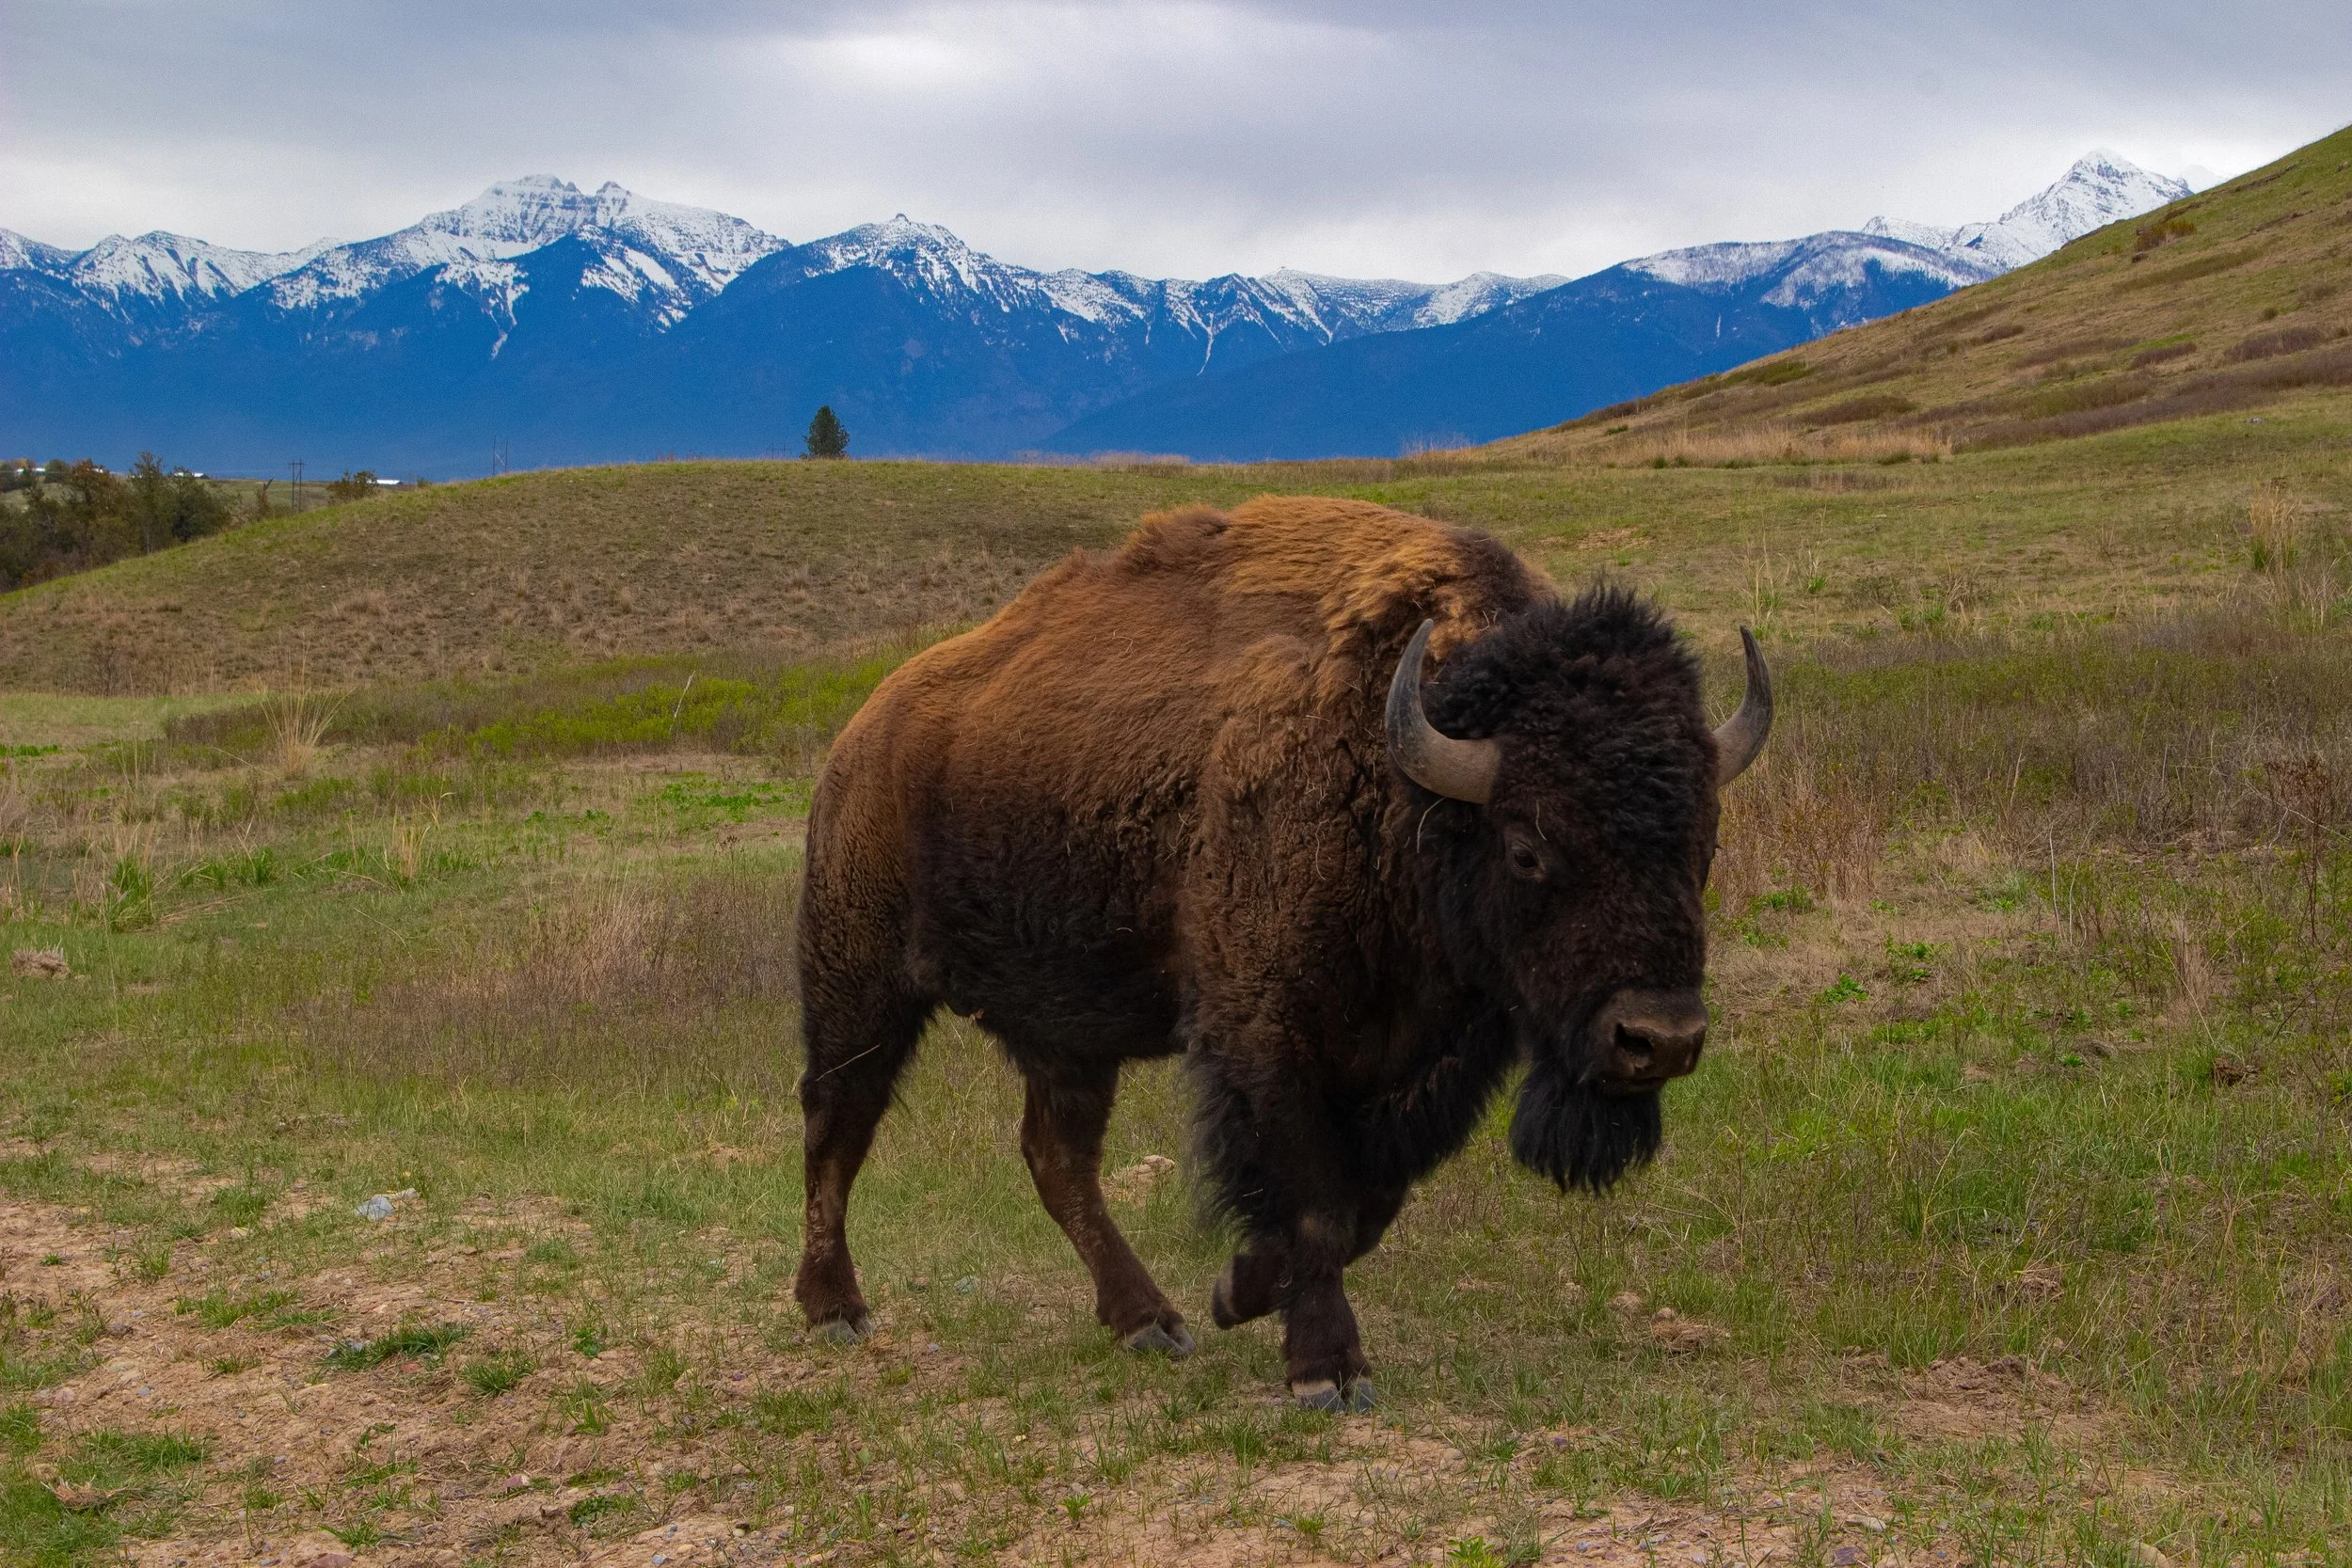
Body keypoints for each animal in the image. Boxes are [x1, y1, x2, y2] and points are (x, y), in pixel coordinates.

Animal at [794, 496, 1771, 1408]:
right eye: (1529, 845)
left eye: (1704, 842)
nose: (1660, 1038)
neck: (1402, 780)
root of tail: (859, 737)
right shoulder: (1269, 1034)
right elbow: (1316, 1200)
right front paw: (1325, 1369)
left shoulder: (1431, 1058)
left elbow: (1369, 1202)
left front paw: (1236, 1291)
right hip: (861, 985)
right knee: (836, 1125)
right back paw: (835, 1308)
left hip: (1067, 1032)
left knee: (1055, 1157)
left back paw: (1149, 1321)